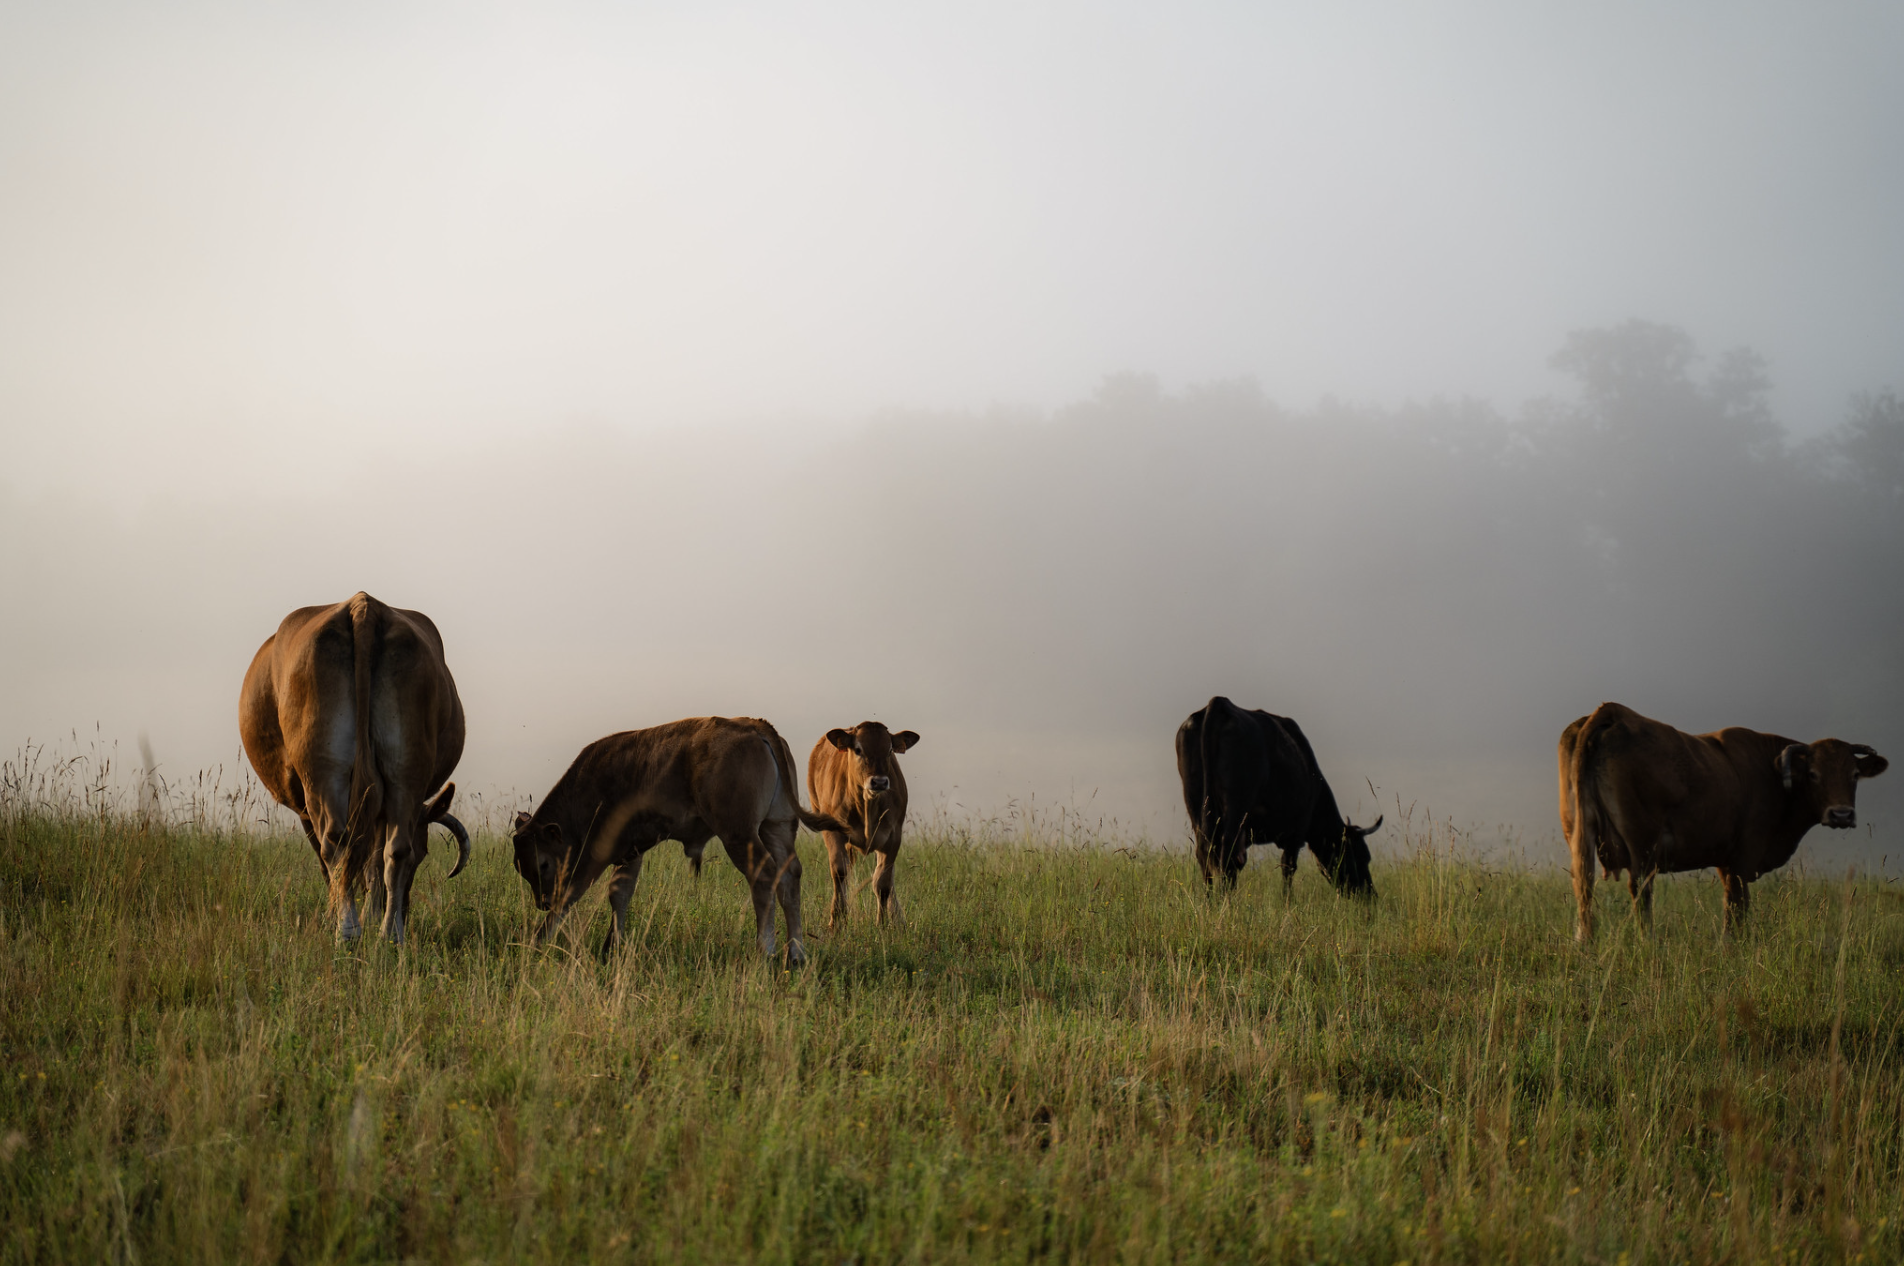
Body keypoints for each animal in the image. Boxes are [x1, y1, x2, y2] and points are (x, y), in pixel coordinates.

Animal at [239, 592, 469, 942]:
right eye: (426, 852)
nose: (408, 908)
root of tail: (363, 607)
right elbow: (374, 858)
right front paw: (369, 914)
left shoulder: (305, 805)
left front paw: (349, 914)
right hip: (404, 768)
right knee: (393, 849)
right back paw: (389, 934)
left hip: (322, 770)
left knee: (336, 844)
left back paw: (350, 930)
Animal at [509, 716, 849, 963]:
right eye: (520, 867)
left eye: (542, 863)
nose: (542, 902)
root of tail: (754, 724)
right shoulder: (632, 852)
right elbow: (619, 894)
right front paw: (611, 947)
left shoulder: (595, 854)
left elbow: (572, 895)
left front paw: (537, 942)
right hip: (776, 827)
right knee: (789, 877)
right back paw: (797, 954)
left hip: (739, 834)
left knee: (764, 877)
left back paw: (765, 952)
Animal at [807, 722, 920, 928]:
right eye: (858, 750)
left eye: (889, 750)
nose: (879, 782)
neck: (867, 806)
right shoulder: (833, 832)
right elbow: (840, 872)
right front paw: (837, 921)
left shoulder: (893, 836)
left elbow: (882, 882)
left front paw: (882, 924)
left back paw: (898, 918)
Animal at [1175, 696, 1379, 896]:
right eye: (1361, 856)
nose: (1370, 895)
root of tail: (1221, 703)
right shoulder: (1297, 831)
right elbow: (1288, 867)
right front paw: (1287, 901)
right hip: (1236, 807)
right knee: (1226, 854)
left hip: (1196, 803)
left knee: (1206, 854)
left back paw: (1210, 900)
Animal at [1560, 701, 1889, 941]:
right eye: (1813, 774)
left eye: (1854, 775)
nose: (1841, 814)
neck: (1770, 772)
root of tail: (1613, 711)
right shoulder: (1743, 859)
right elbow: (1737, 907)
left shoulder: (1725, 860)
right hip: (1643, 848)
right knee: (1640, 893)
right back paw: (1648, 943)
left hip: (1579, 837)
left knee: (1584, 886)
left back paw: (1586, 943)